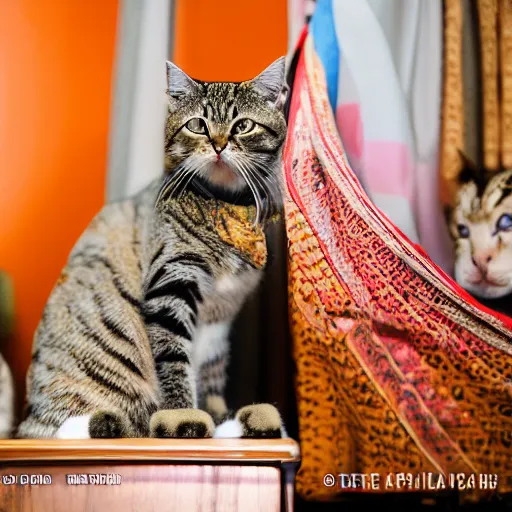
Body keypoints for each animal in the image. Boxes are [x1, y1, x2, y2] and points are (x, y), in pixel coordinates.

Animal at [15, 57, 288, 440]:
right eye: (198, 125)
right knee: (75, 425)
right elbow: (174, 359)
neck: (224, 205)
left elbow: (209, 373)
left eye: (243, 126)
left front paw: (219, 416)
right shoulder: (171, 283)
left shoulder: (219, 319)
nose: (219, 145)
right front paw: (182, 415)